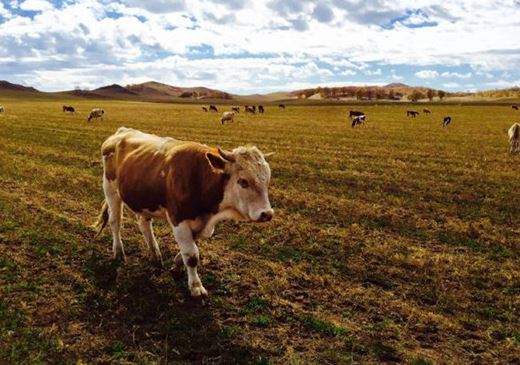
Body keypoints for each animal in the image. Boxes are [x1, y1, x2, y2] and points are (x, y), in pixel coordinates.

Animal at [93, 127, 274, 296]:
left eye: (267, 181)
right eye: (243, 181)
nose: (267, 214)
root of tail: (123, 131)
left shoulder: (202, 224)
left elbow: (189, 249)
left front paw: (176, 265)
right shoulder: (178, 219)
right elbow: (192, 255)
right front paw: (196, 287)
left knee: (144, 224)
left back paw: (155, 254)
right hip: (110, 189)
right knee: (115, 222)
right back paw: (118, 252)